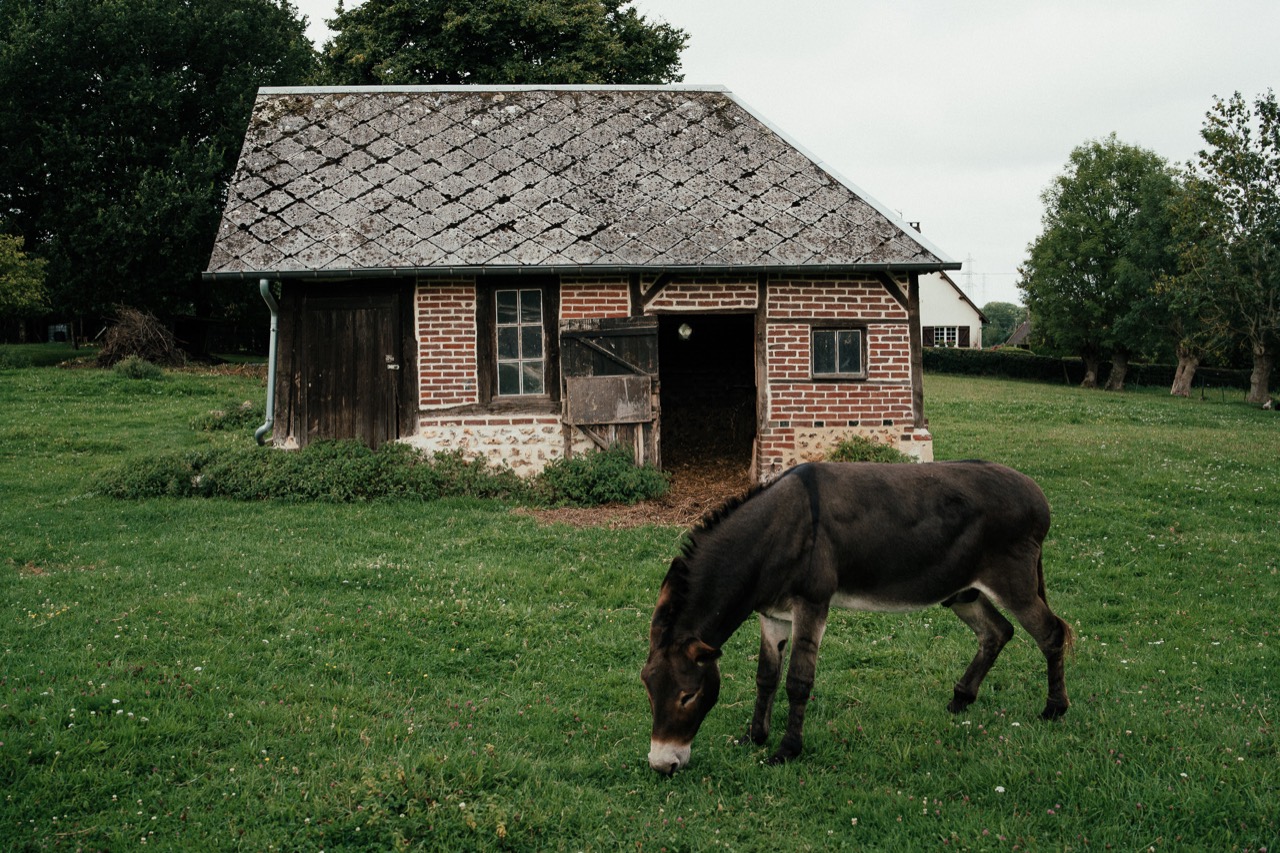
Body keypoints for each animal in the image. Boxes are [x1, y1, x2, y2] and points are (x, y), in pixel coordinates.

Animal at [641, 460, 1073, 775]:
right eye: (647, 688)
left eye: (688, 695)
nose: (662, 766)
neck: (776, 533)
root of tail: (1037, 493)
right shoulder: (773, 614)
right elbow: (765, 677)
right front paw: (755, 737)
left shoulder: (812, 604)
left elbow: (797, 681)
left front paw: (786, 750)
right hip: (963, 592)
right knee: (997, 632)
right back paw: (961, 699)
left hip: (1012, 581)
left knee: (1052, 633)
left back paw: (1054, 710)